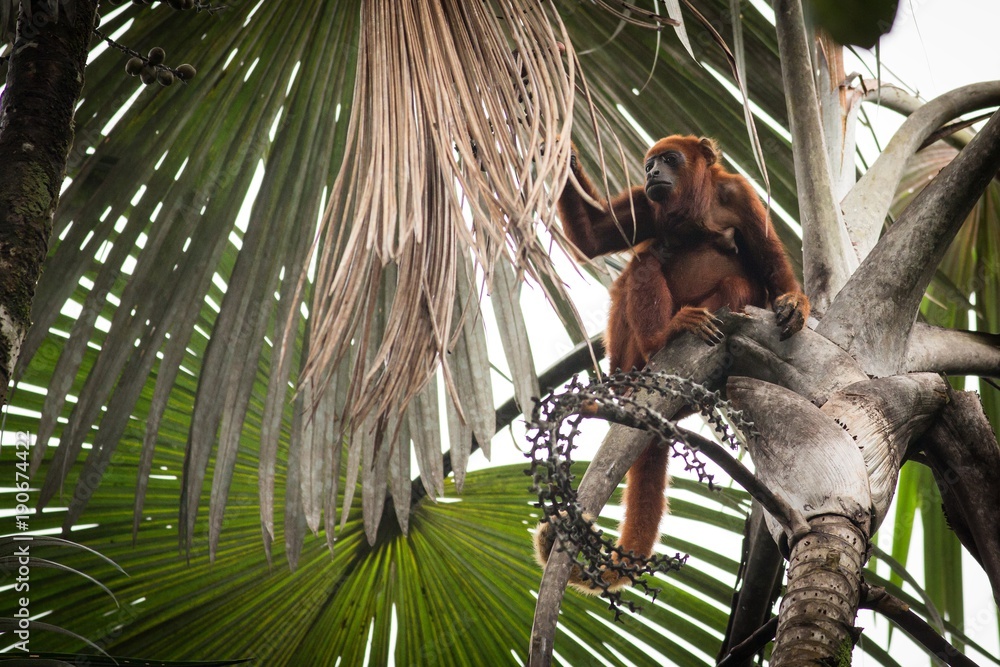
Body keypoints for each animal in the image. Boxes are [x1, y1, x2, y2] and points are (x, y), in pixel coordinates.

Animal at [535, 135, 809, 594]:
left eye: (670, 159)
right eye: (649, 164)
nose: (651, 172)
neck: (697, 208)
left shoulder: (740, 195)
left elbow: (769, 261)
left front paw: (795, 303)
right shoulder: (649, 203)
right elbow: (593, 238)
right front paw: (556, 148)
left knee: (737, 282)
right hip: (627, 356)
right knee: (642, 264)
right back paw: (660, 339)